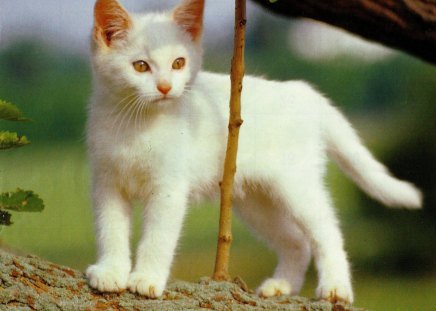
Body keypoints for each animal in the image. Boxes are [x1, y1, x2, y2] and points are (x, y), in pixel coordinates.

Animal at [86, 0, 422, 304]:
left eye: (178, 63)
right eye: (140, 66)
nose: (166, 87)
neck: (136, 123)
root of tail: (301, 91)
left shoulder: (169, 188)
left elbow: (158, 237)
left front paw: (146, 278)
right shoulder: (106, 184)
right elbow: (109, 230)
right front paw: (111, 271)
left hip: (297, 185)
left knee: (328, 232)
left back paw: (336, 288)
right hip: (259, 201)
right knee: (297, 242)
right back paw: (282, 285)